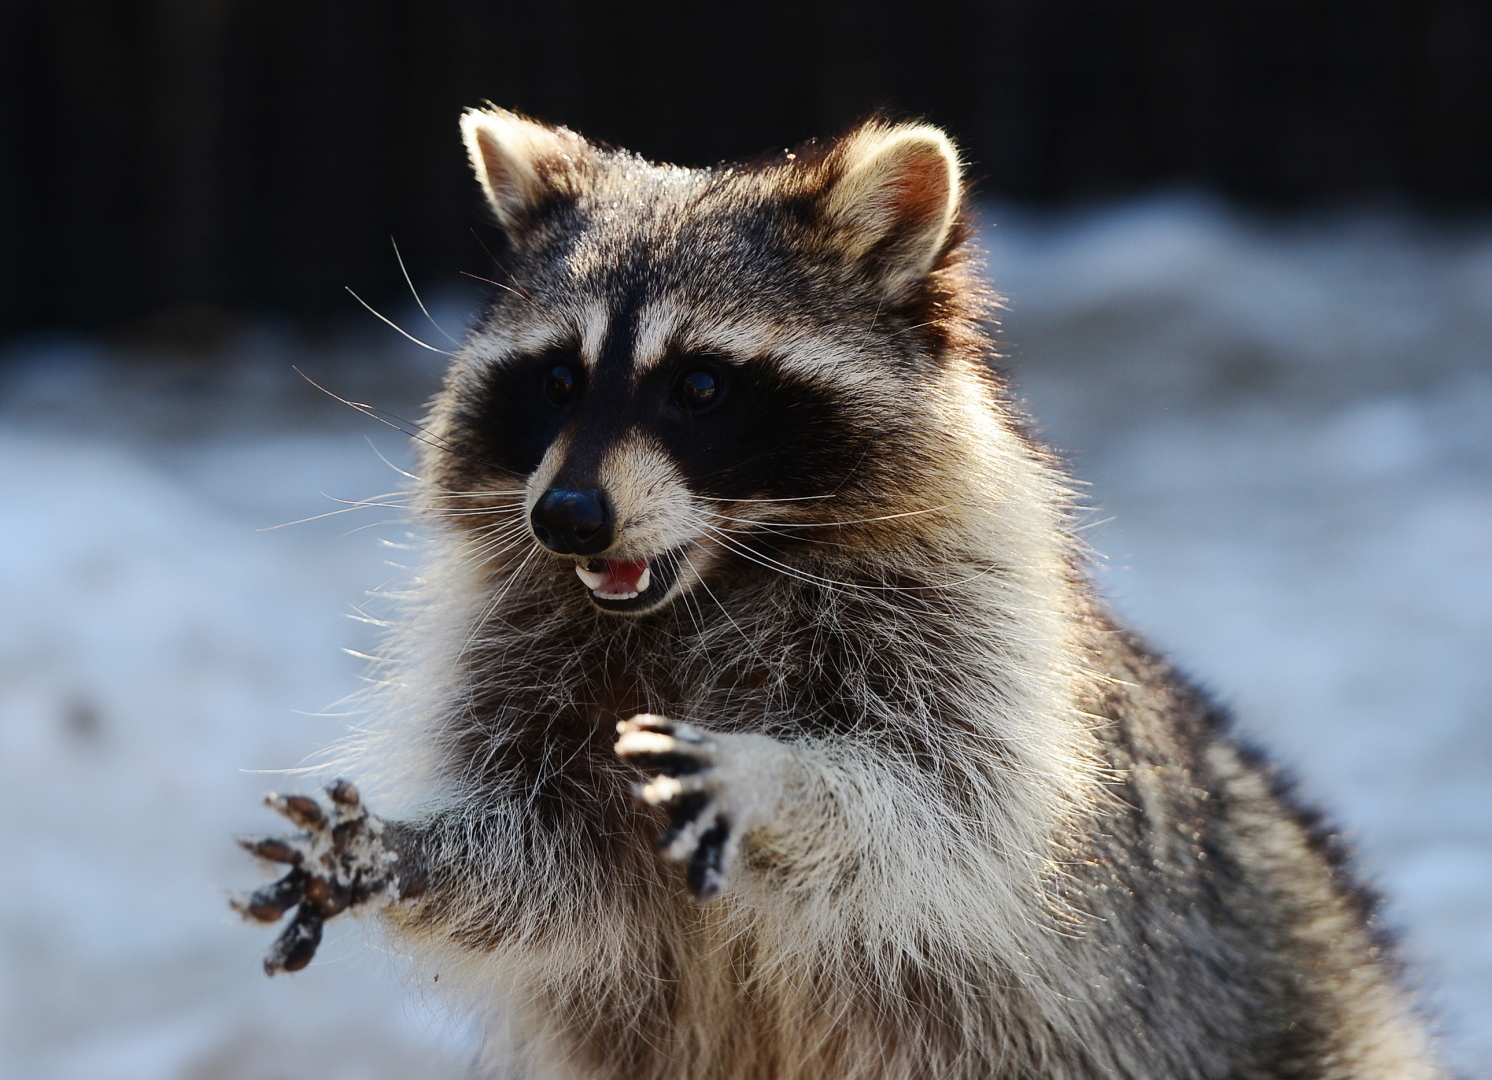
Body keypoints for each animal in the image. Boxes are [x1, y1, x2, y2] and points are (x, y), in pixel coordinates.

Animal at [235, 109, 1444, 1080]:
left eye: (700, 385)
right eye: (557, 380)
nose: (567, 516)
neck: (712, 578)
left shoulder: (974, 636)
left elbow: (934, 810)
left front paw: (777, 781)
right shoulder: (521, 652)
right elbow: (551, 872)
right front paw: (402, 853)